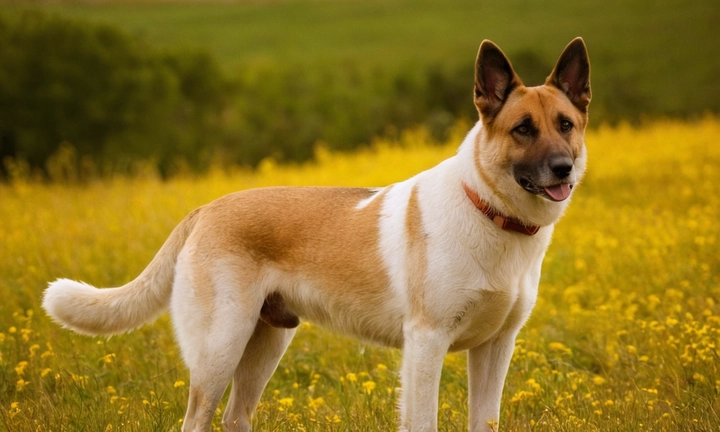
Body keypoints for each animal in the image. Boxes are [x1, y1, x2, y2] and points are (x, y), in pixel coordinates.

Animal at [40, 38, 592, 432]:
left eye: (566, 124)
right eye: (523, 129)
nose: (563, 169)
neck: (492, 215)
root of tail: (206, 208)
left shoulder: (496, 348)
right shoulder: (426, 343)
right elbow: (422, 421)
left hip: (265, 344)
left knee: (235, 418)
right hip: (219, 349)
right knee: (196, 420)